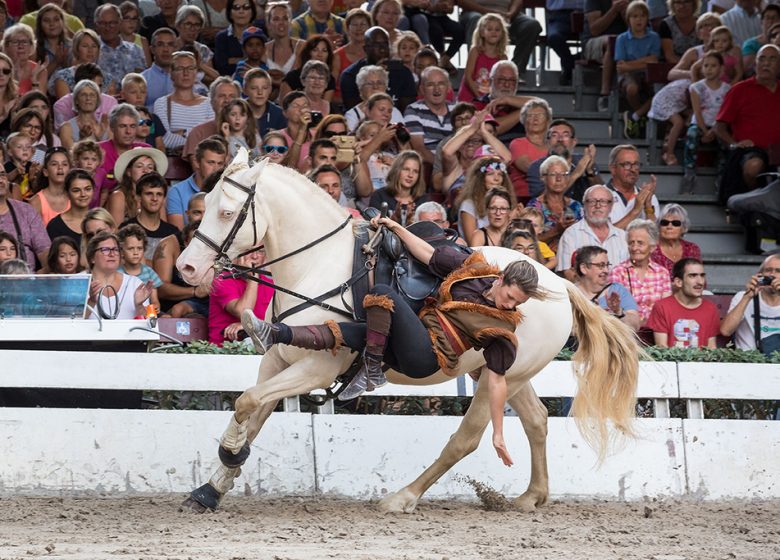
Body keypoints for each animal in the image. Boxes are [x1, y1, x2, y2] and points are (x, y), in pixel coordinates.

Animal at [177, 151, 640, 516]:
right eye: (207, 203)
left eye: (226, 212)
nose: (186, 267)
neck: (318, 264)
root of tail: (560, 284)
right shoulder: (278, 359)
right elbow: (253, 410)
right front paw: (214, 485)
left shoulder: (316, 368)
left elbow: (247, 402)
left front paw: (229, 453)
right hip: (503, 373)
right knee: (537, 421)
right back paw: (532, 496)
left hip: (500, 375)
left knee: (467, 439)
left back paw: (402, 497)